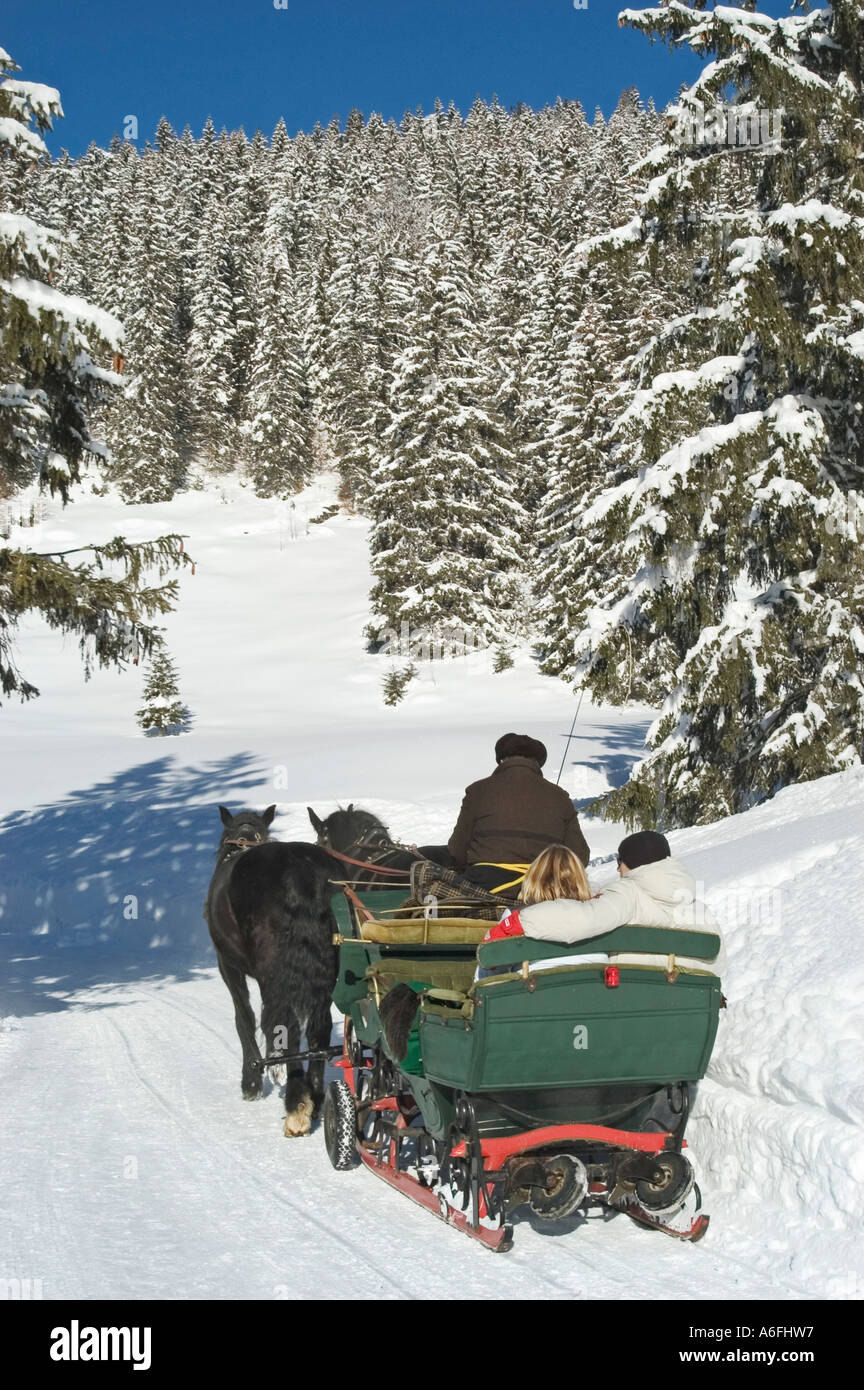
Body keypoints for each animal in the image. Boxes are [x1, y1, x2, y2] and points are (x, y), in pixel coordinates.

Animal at [204, 806, 338, 1139]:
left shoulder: (228, 966)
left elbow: (244, 1018)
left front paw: (251, 1082)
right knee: (318, 1029)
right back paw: (315, 1099)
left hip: (272, 974)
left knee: (285, 1027)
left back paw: (296, 1106)